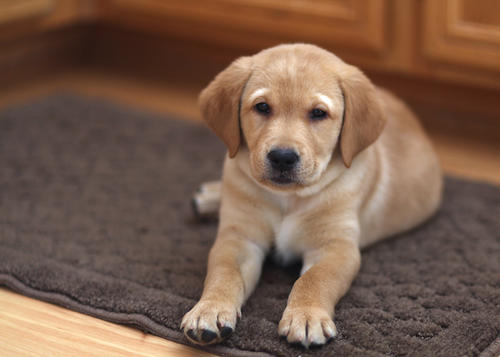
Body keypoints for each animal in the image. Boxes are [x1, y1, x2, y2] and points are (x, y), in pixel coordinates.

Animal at [181, 43, 442, 346]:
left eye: (318, 113)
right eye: (262, 107)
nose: (282, 157)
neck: (288, 198)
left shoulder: (335, 246)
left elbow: (314, 279)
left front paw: (306, 317)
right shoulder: (239, 237)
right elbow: (224, 273)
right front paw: (209, 311)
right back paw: (209, 197)